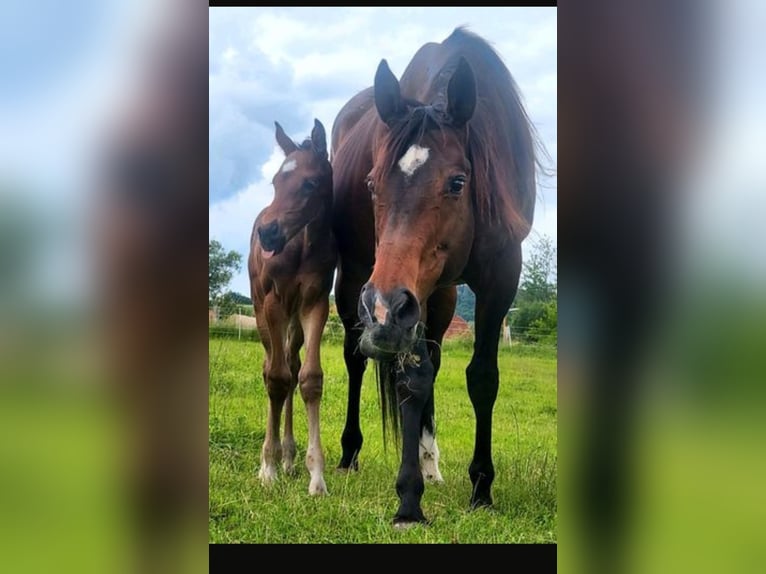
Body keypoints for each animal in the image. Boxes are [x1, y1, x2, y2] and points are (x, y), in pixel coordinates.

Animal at [332, 29, 540, 528]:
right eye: (371, 183)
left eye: (458, 182)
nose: (383, 307)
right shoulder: (410, 296)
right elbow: (411, 378)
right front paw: (409, 500)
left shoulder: (501, 277)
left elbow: (482, 377)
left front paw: (481, 488)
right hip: (356, 282)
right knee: (355, 358)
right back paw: (350, 454)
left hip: (436, 297)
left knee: (436, 361)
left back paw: (431, 462)